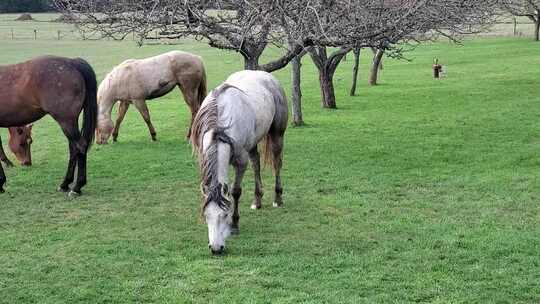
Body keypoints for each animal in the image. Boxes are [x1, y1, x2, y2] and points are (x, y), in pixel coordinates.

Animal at [0, 55, 98, 196]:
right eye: (23, 143)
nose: (27, 163)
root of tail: (71, 62)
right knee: (73, 148)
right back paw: (65, 184)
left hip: (66, 121)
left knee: (80, 146)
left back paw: (76, 187)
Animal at [192, 70, 288, 254]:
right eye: (206, 216)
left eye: (224, 215)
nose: (216, 248)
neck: (220, 129)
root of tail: (267, 76)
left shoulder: (240, 162)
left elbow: (236, 191)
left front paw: (235, 225)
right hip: (253, 143)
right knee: (256, 163)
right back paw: (257, 201)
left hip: (277, 134)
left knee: (277, 163)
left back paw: (278, 199)